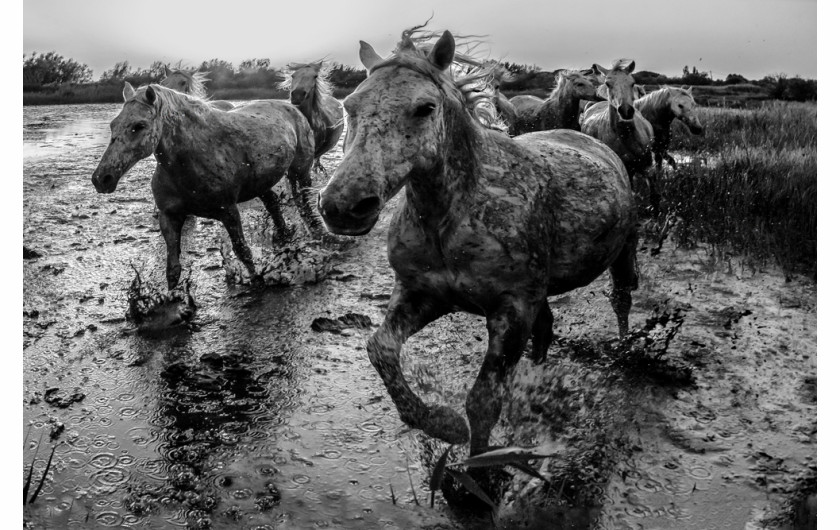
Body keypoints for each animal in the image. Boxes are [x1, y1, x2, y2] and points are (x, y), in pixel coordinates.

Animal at [91, 82, 322, 288]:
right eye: (113, 125)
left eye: (139, 126)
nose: (102, 179)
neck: (193, 157)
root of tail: (294, 109)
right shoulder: (169, 216)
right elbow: (172, 268)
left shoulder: (229, 211)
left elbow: (243, 251)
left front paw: (257, 281)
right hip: (261, 184)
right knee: (273, 203)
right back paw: (284, 234)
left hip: (300, 173)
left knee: (304, 201)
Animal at [316, 28, 636, 452]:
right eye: (349, 106)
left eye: (424, 108)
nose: (342, 205)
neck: (453, 218)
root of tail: (593, 141)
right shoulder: (421, 294)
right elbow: (380, 349)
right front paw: (440, 423)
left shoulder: (512, 311)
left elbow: (483, 403)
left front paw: (472, 459)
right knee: (546, 331)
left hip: (623, 252)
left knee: (622, 299)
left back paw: (624, 347)